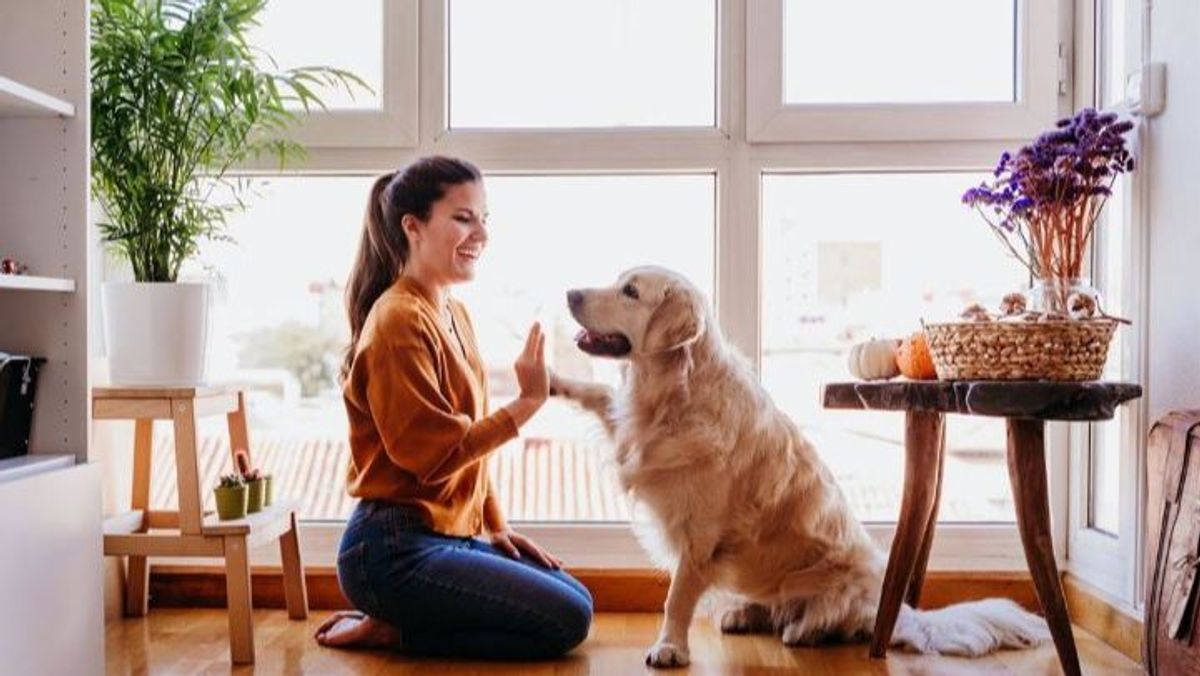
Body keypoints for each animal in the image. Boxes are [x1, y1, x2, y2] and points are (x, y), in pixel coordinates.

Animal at [552, 265, 1051, 667]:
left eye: (630, 291)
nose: (570, 293)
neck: (672, 394)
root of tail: (900, 611)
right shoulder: (631, 432)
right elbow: (596, 394)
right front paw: (550, 379)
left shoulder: (700, 536)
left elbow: (677, 598)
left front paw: (670, 647)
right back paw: (742, 613)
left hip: (835, 585)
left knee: (831, 621)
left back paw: (803, 629)